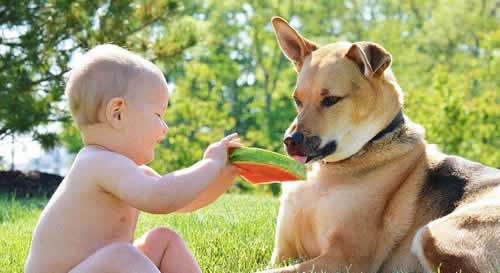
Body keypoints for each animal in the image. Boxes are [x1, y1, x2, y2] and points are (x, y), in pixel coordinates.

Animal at [258, 17, 500, 272]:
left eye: (331, 100)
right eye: (297, 100)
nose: (289, 141)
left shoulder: (345, 258)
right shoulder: (282, 253)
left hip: (434, 234)